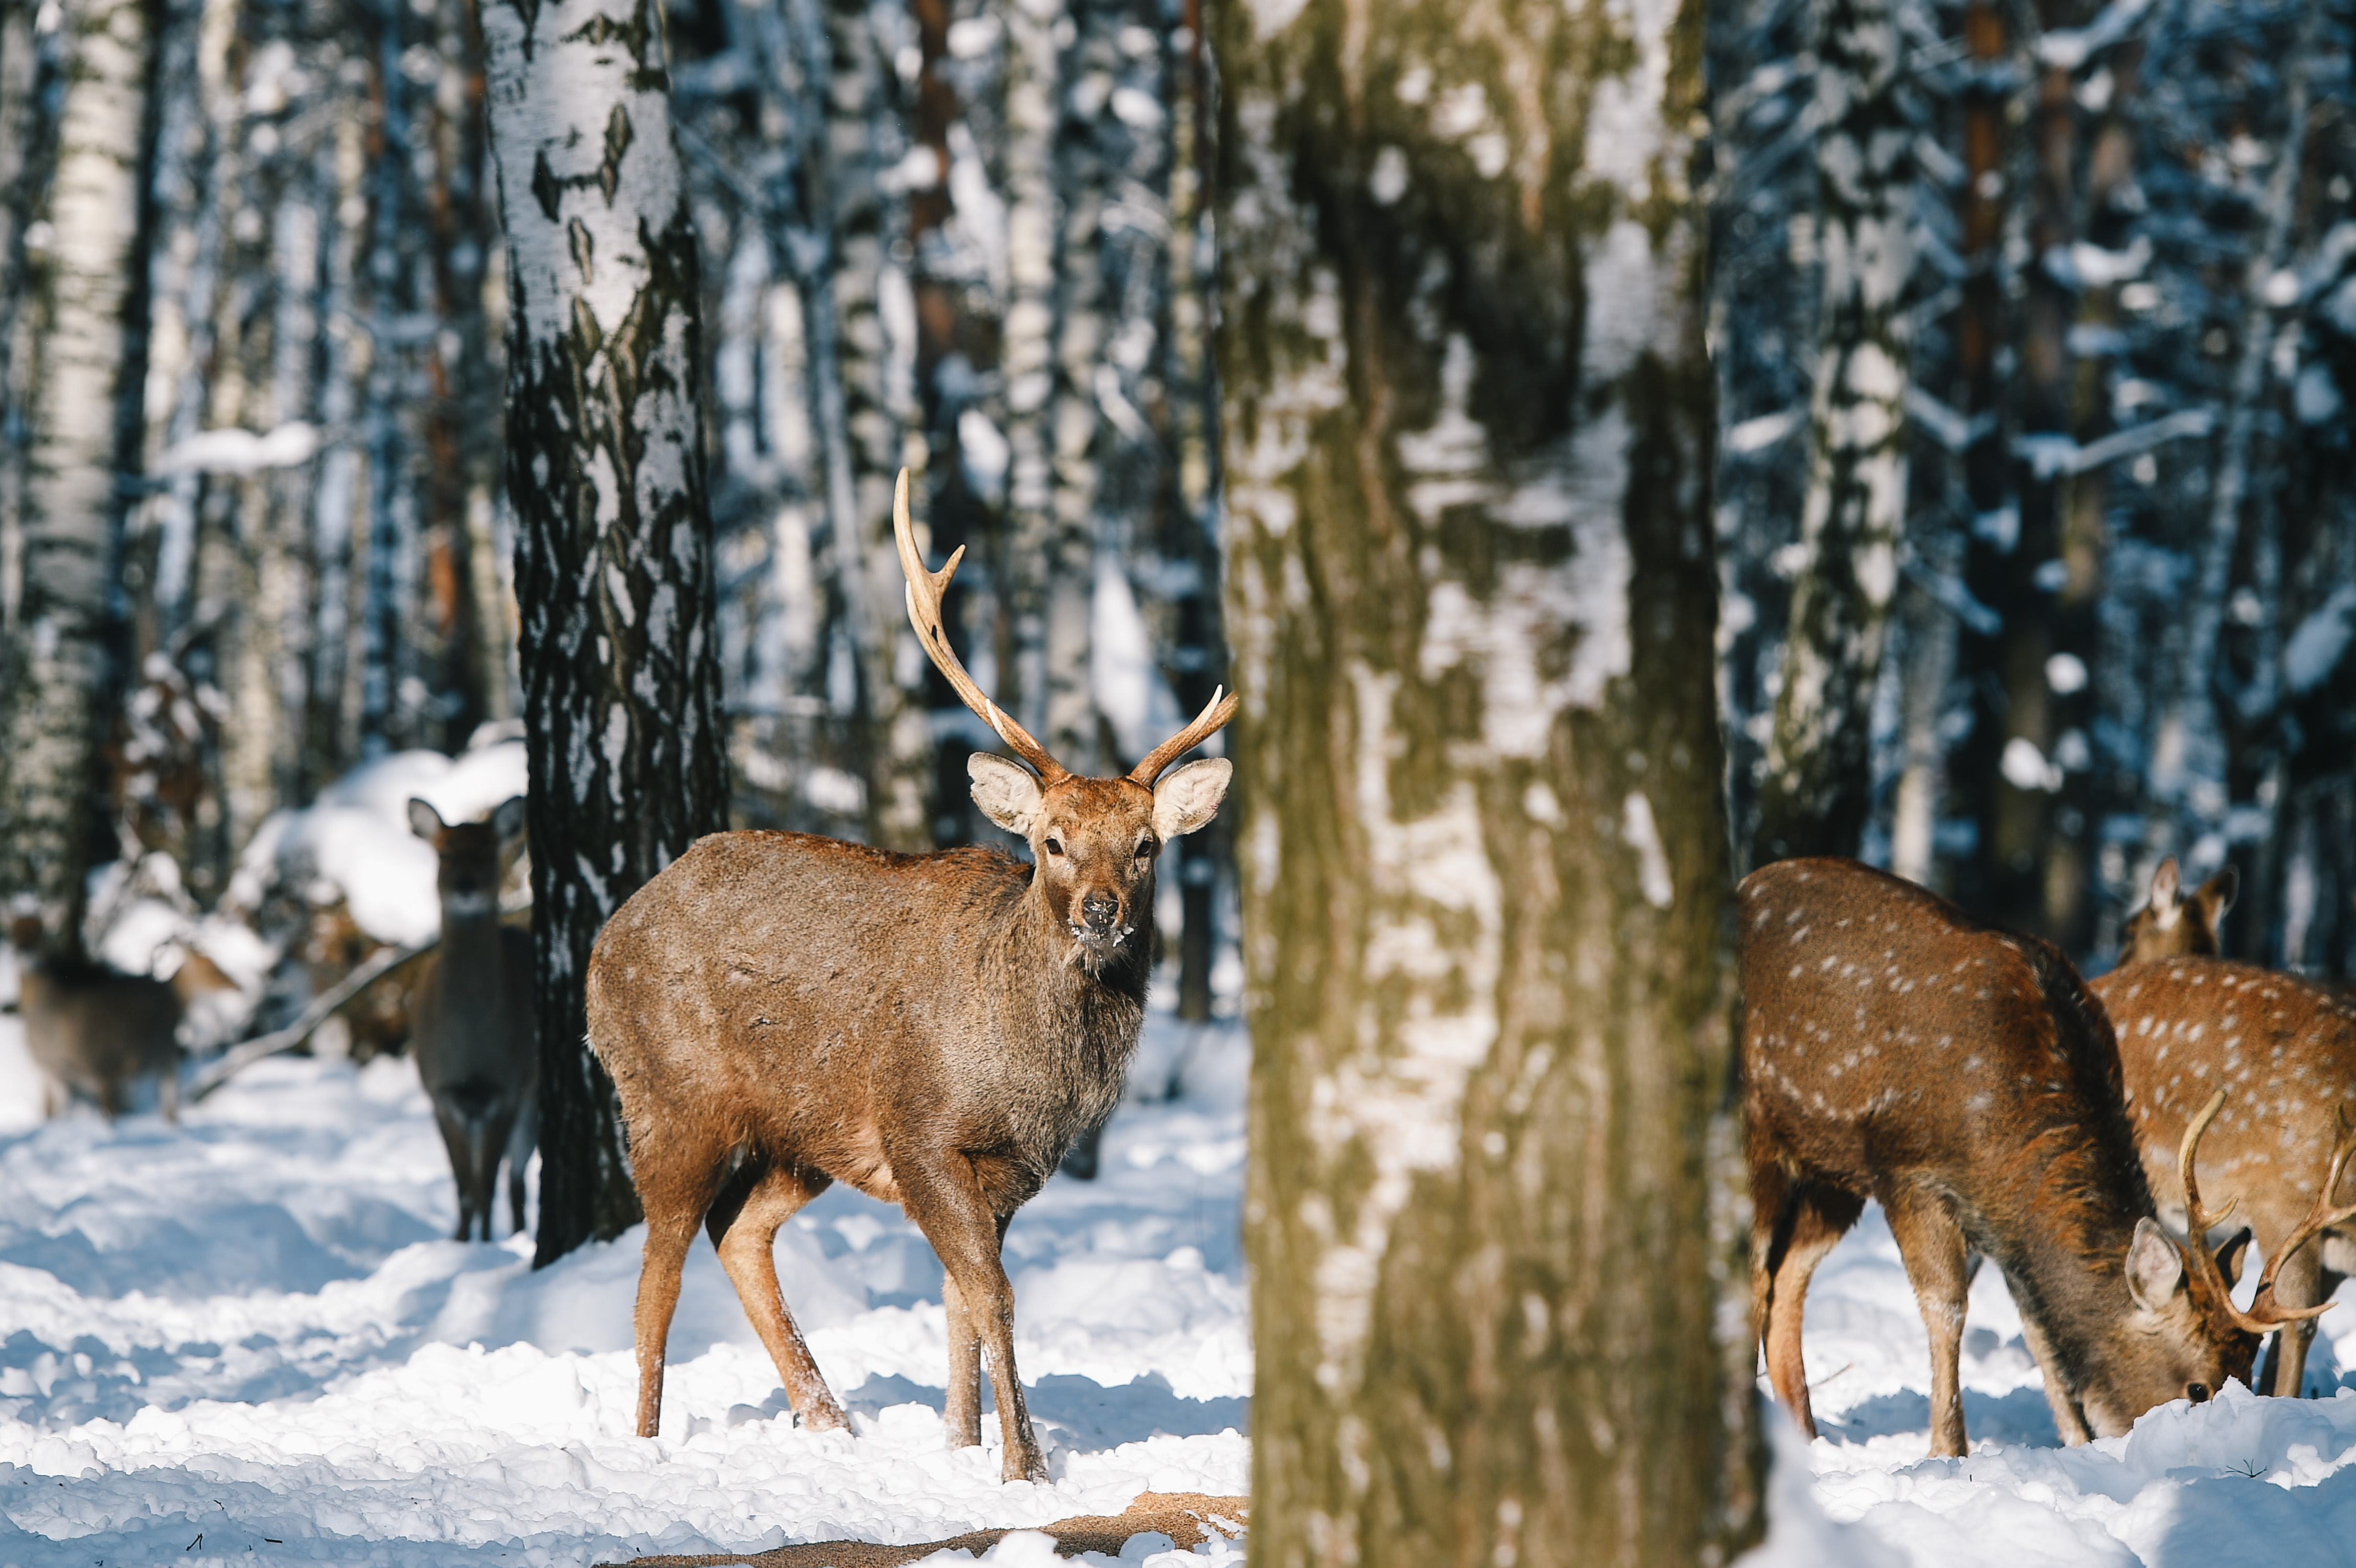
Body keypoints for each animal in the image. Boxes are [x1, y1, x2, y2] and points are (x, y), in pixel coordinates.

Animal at [6, 909, 184, 1116]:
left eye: (42, 932)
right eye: (13, 933)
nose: (23, 950)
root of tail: (170, 993)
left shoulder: (103, 1067)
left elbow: (109, 1115)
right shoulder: (50, 1071)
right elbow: (49, 1113)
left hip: (163, 1052)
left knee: (169, 1090)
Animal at [405, 800, 539, 1243]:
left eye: (488, 851)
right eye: (443, 852)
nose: (466, 886)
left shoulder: (507, 1088)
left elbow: (487, 1185)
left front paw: (481, 1246)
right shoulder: (440, 1091)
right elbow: (465, 1187)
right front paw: (461, 1244)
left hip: (533, 1101)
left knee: (514, 1181)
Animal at [584, 466, 1234, 1478]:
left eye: (1145, 846)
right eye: (1051, 841)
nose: (1100, 912)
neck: (1030, 1075)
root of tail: (606, 939)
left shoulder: (1006, 1167)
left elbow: (961, 1303)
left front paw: (961, 1444)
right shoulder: (921, 1128)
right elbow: (994, 1296)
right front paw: (1022, 1466)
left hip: (798, 1131)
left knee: (739, 1230)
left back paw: (827, 1417)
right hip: (669, 1095)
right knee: (659, 1271)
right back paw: (649, 1442)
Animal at [1743, 857, 2308, 1450]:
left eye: (2248, 1371)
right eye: (2197, 1387)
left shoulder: (1999, 1217)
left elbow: (2039, 1328)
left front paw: (2076, 1441)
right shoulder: (1907, 1170)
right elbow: (1946, 1308)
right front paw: (1948, 1450)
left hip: (1829, 1168)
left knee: (1786, 1280)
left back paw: (1805, 1439)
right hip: (1757, 1125)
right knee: (1753, 1272)